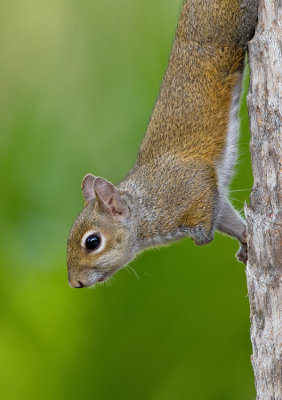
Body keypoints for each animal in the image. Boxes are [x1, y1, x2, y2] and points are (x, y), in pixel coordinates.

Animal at [66, 0, 258, 288]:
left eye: (92, 242)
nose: (74, 282)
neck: (144, 207)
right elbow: (227, 214)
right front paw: (245, 237)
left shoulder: (190, 186)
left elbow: (206, 216)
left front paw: (204, 237)